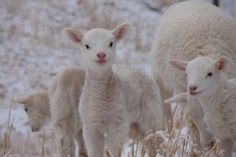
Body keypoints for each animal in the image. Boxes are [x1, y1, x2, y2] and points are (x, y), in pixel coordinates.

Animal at [65, 22, 164, 156]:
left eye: (111, 43)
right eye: (87, 46)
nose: (101, 54)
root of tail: (137, 70)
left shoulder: (117, 125)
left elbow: (114, 150)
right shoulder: (90, 127)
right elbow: (95, 152)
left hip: (152, 115)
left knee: (157, 140)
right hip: (134, 126)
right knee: (148, 143)